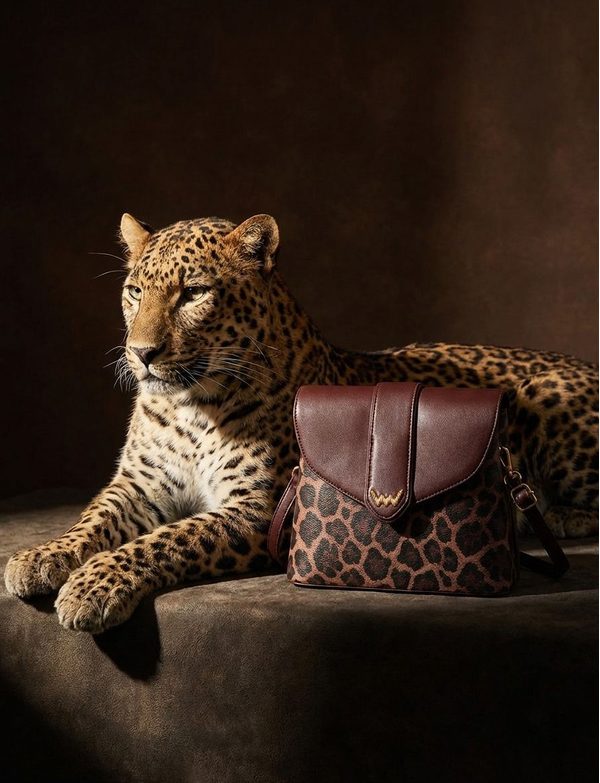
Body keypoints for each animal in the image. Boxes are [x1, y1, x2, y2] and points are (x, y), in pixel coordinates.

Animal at [4, 212, 598, 633]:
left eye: (193, 293)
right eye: (134, 291)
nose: (141, 354)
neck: (189, 406)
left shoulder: (257, 508)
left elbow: (169, 539)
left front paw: (93, 586)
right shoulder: (139, 484)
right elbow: (92, 519)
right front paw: (41, 557)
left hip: (547, 391)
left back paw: (554, 515)